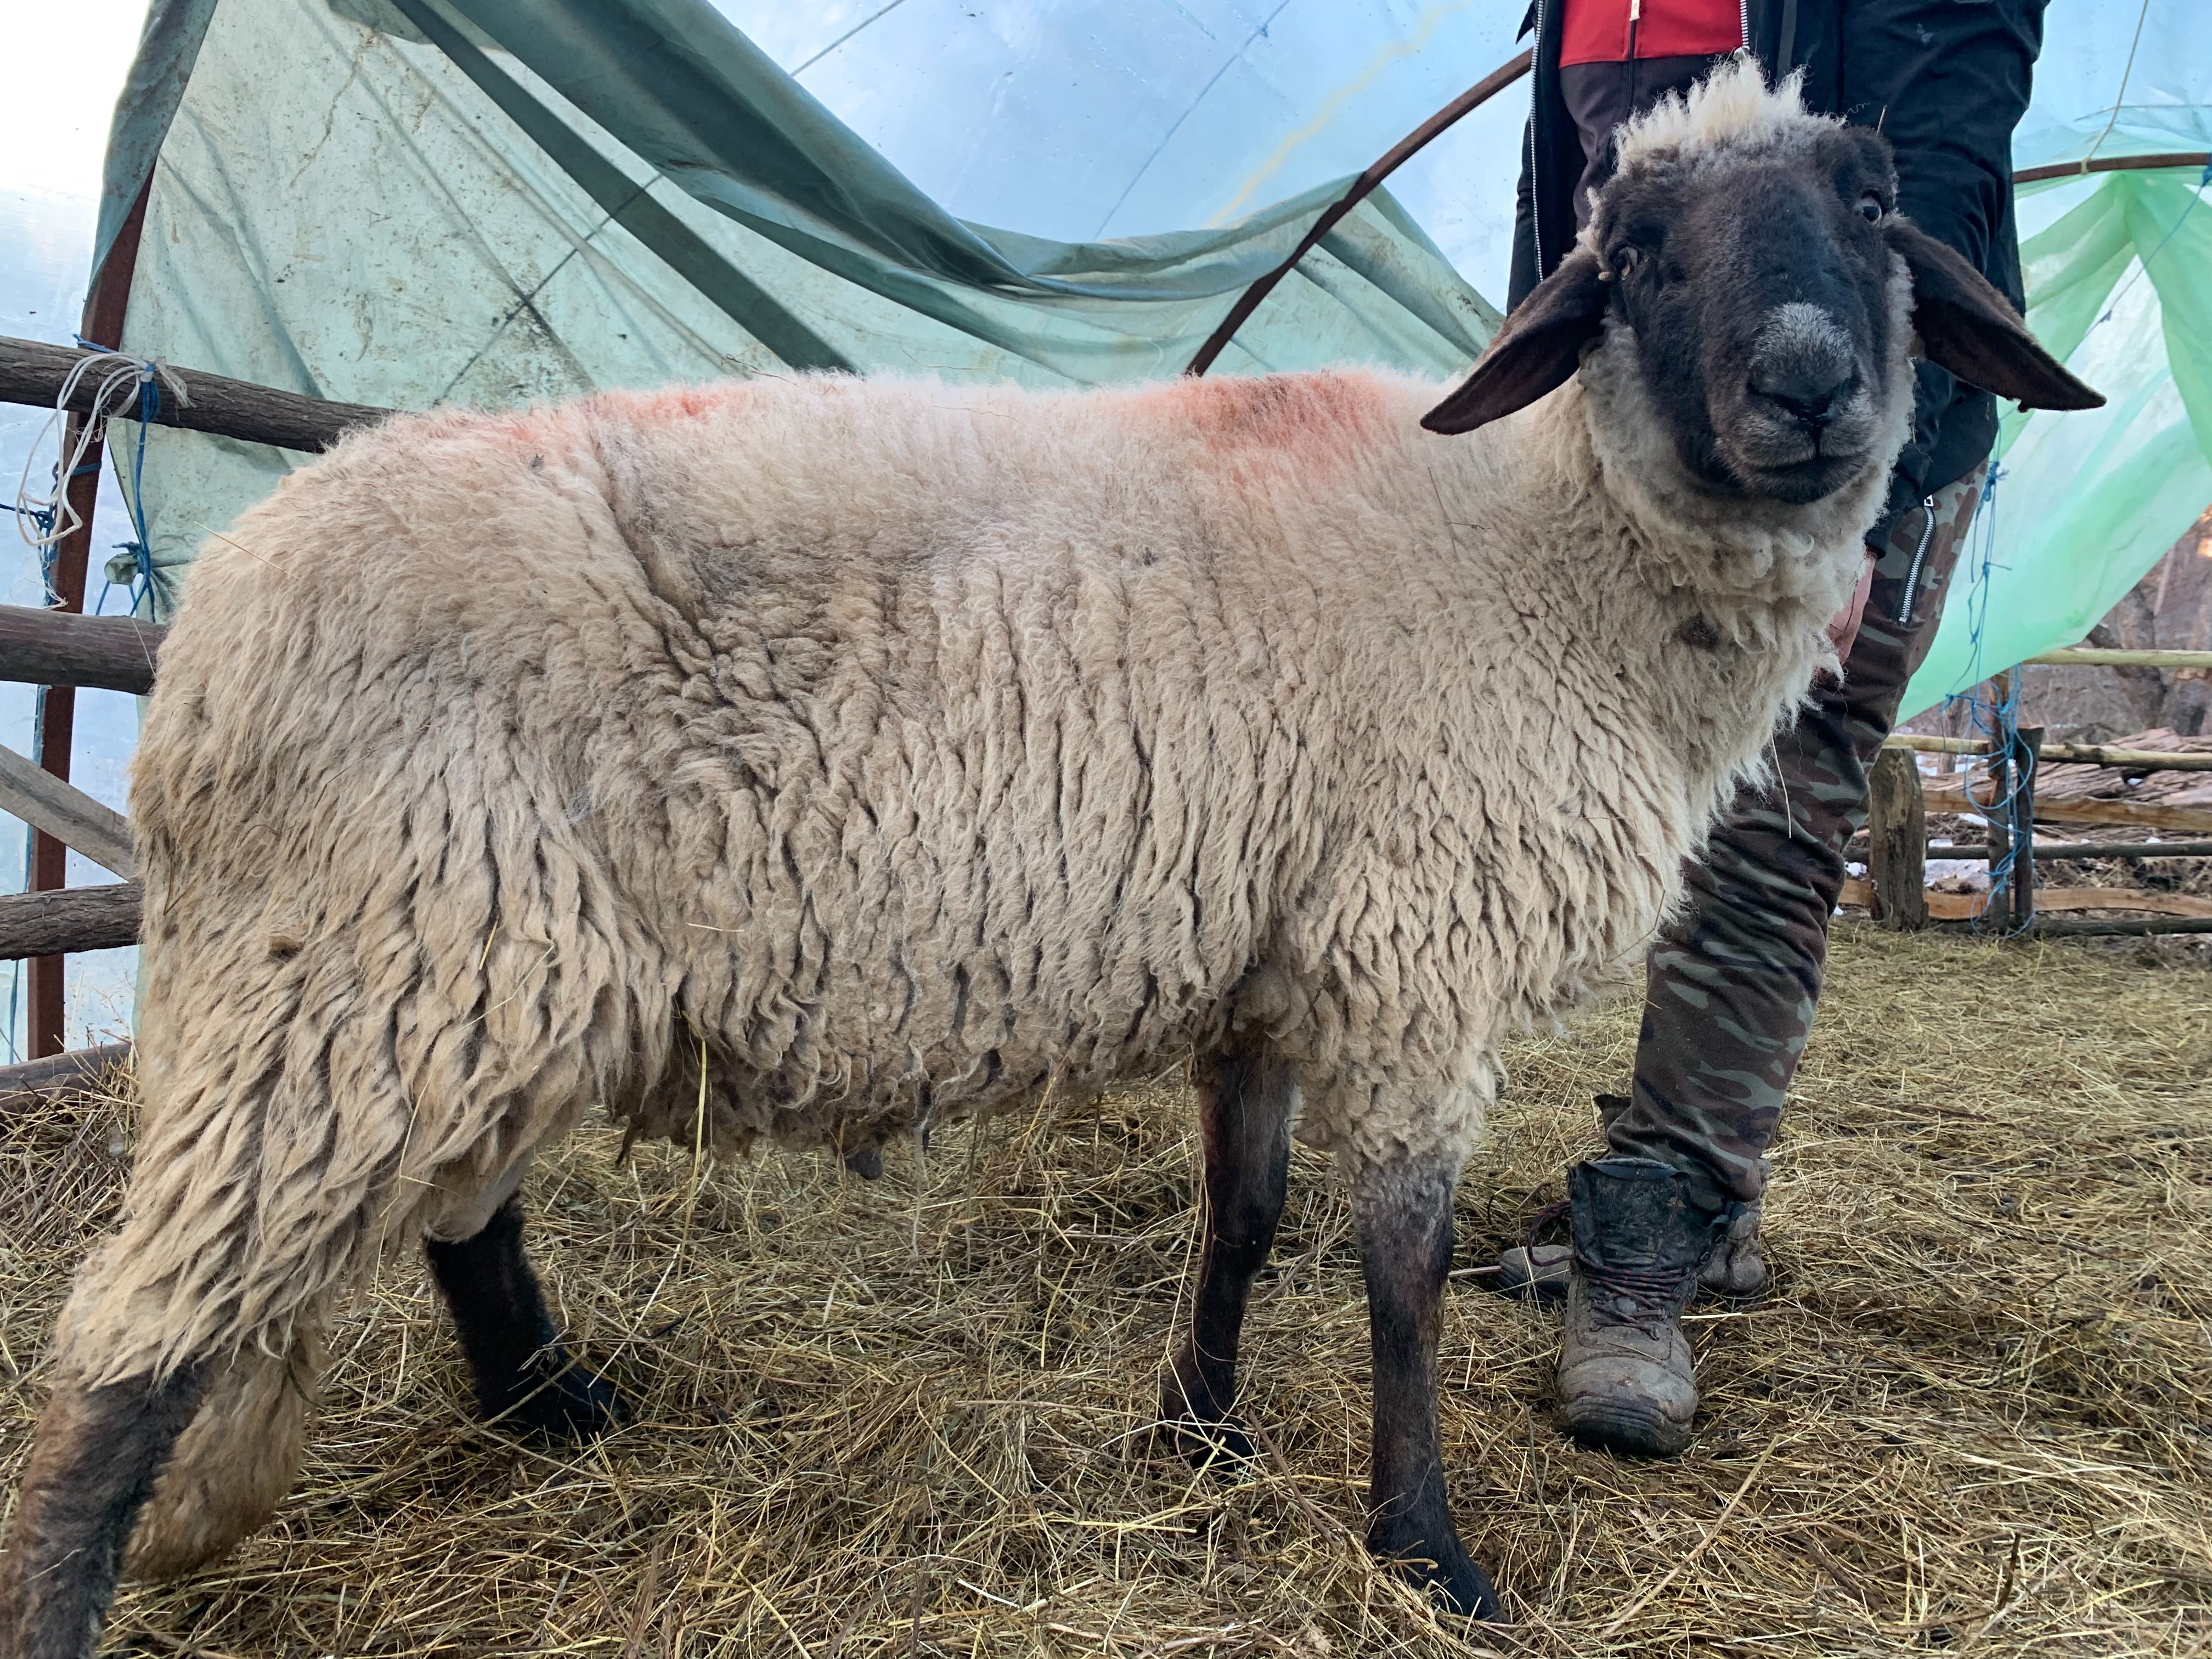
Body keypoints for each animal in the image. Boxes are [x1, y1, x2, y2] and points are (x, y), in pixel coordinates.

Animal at [0, 58, 2088, 1654]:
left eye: (1876, 203)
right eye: (1637, 251)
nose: (1810, 387)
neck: (1550, 553)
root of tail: (209, 626)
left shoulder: (1275, 954)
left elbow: (1241, 1218)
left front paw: (1201, 1438)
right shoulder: (1412, 949)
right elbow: (1400, 1268)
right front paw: (1427, 1550)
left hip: (452, 963)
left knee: (454, 1213)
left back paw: (556, 1405)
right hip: (357, 966)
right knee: (128, 1360)